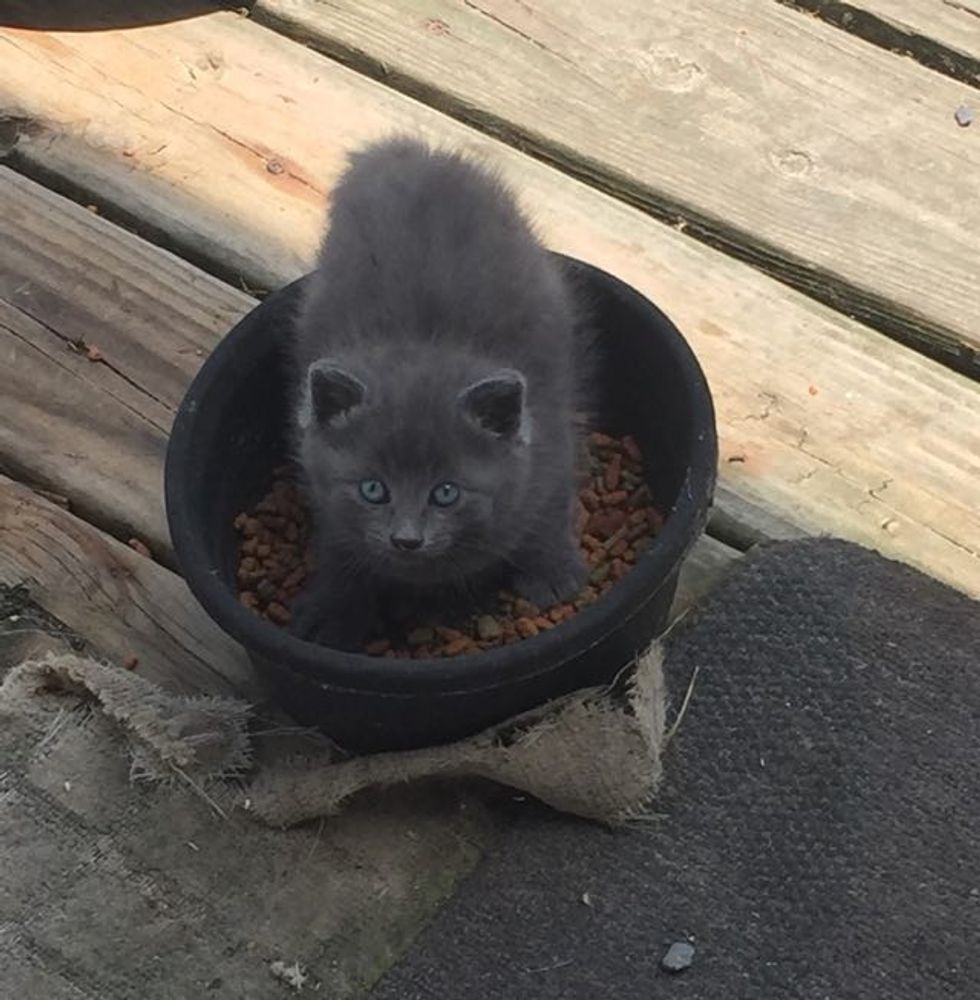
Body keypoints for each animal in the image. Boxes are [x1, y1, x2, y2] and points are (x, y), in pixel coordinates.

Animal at [288, 139, 584, 648]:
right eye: (373, 489)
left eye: (446, 493)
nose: (406, 539)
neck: (428, 343)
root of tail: (411, 152)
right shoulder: (326, 491)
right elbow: (340, 544)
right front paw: (332, 612)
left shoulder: (550, 446)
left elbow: (549, 508)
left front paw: (552, 574)